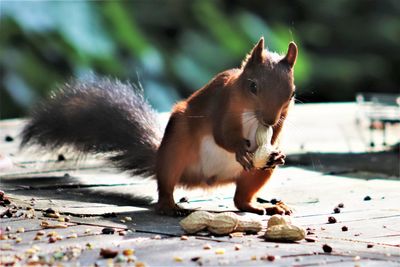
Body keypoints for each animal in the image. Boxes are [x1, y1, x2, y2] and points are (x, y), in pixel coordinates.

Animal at [21, 37, 296, 217]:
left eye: (292, 93)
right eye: (253, 86)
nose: (269, 120)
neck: (252, 116)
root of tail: (205, 179)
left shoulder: (281, 119)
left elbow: (276, 136)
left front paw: (276, 151)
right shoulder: (222, 103)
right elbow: (221, 135)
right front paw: (239, 149)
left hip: (255, 174)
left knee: (241, 199)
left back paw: (263, 205)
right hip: (176, 147)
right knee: (166, 184)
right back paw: (169, 207)